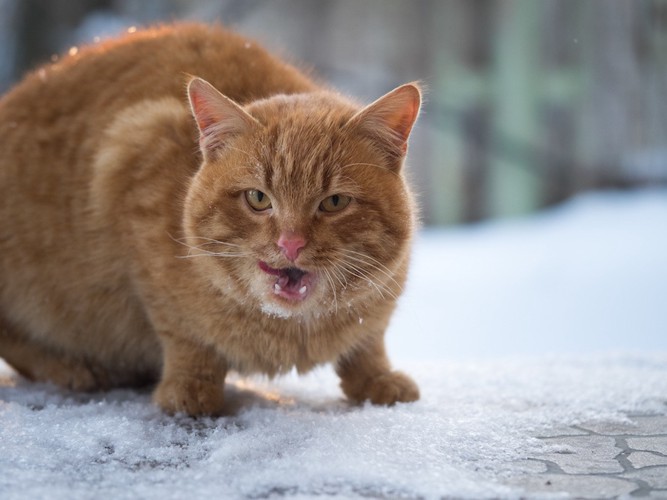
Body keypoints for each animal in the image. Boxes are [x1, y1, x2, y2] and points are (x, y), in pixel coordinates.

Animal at [0, 22, 420, 414]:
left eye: (333, 202)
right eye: (258, 198)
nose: (290, 243)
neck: (289, 330)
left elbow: (369, 343)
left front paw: (376, 377)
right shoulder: (133, 153)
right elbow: (183, 333)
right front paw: (191, 388)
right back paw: (70, 367)